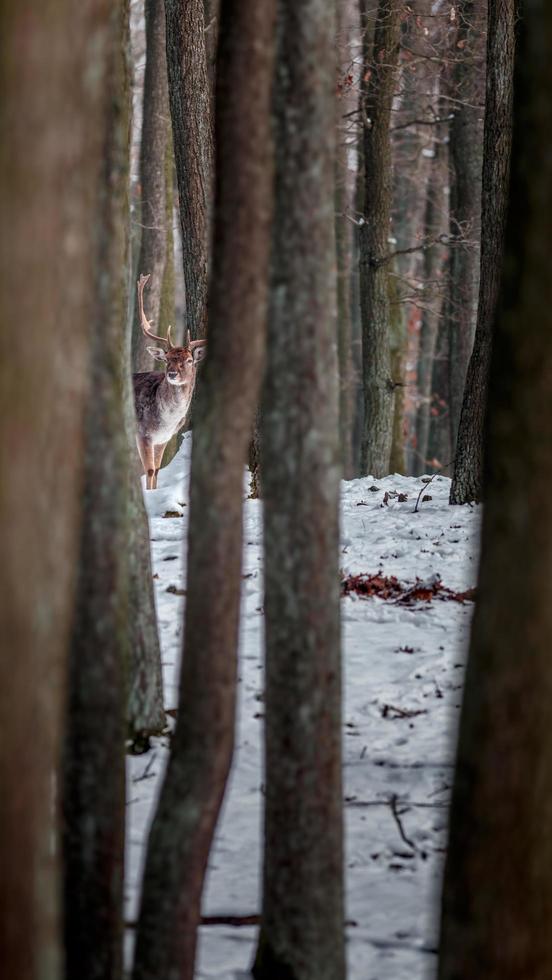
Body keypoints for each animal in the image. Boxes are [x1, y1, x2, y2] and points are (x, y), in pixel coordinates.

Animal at [133, 274, 206, 488]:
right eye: (167, 359)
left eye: (189, 360)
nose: (172, 374)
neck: (166, 421)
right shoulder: (143, 434)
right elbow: (149, 471)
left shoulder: (163, 439)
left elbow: (157, 470)